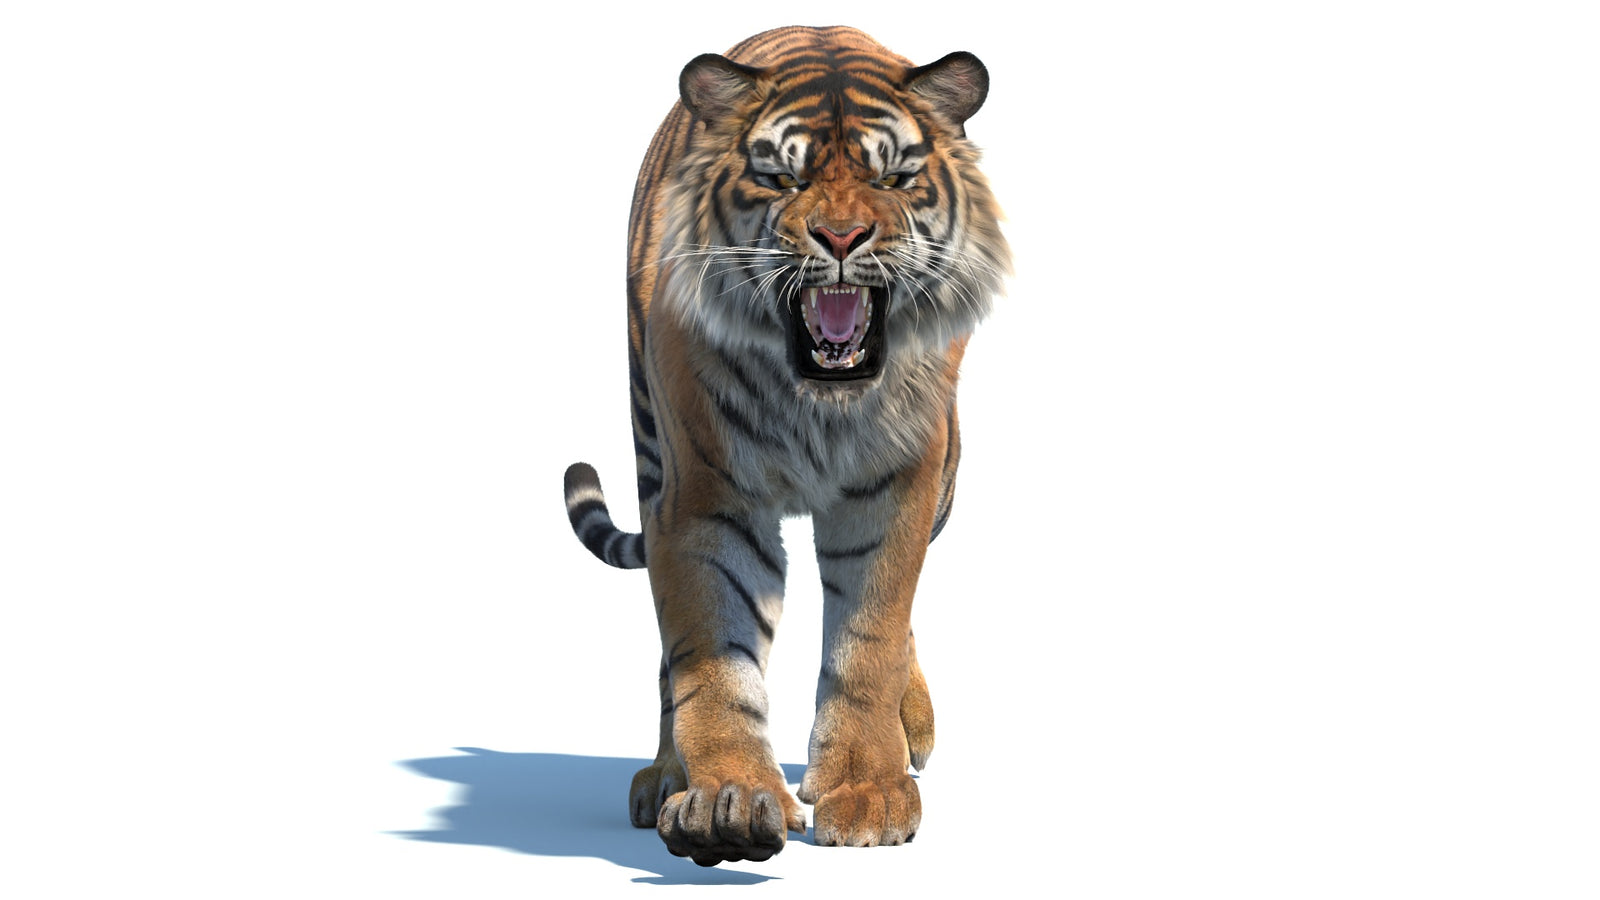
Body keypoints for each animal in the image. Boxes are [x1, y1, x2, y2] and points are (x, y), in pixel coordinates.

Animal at [561, 25, 1009, 866]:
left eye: (894, 176)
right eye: (780, 177)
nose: (840, 237)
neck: (819, 404)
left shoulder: (897, 487)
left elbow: (872, 639)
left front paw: (867, 793)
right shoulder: (704, 499)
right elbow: (712, 656)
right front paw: (727, 800)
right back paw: (663, 775)